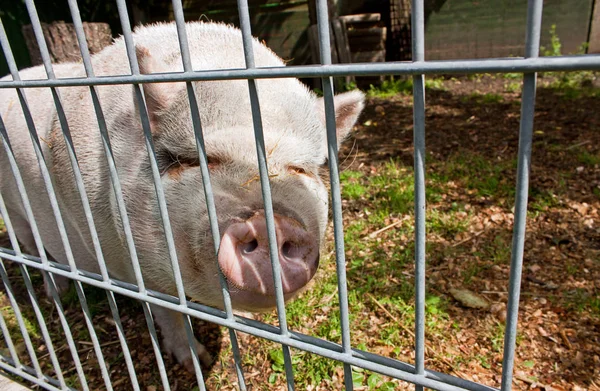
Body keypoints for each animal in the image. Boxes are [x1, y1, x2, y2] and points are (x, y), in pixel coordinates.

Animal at [0, 21, 366, 370]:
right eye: (195, 160)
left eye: (300, 169)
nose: (271, 225)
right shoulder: (138, 270)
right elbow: (170, 314)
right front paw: (196, 363)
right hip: (15, 213)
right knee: (33, 249)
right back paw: (56, 294)